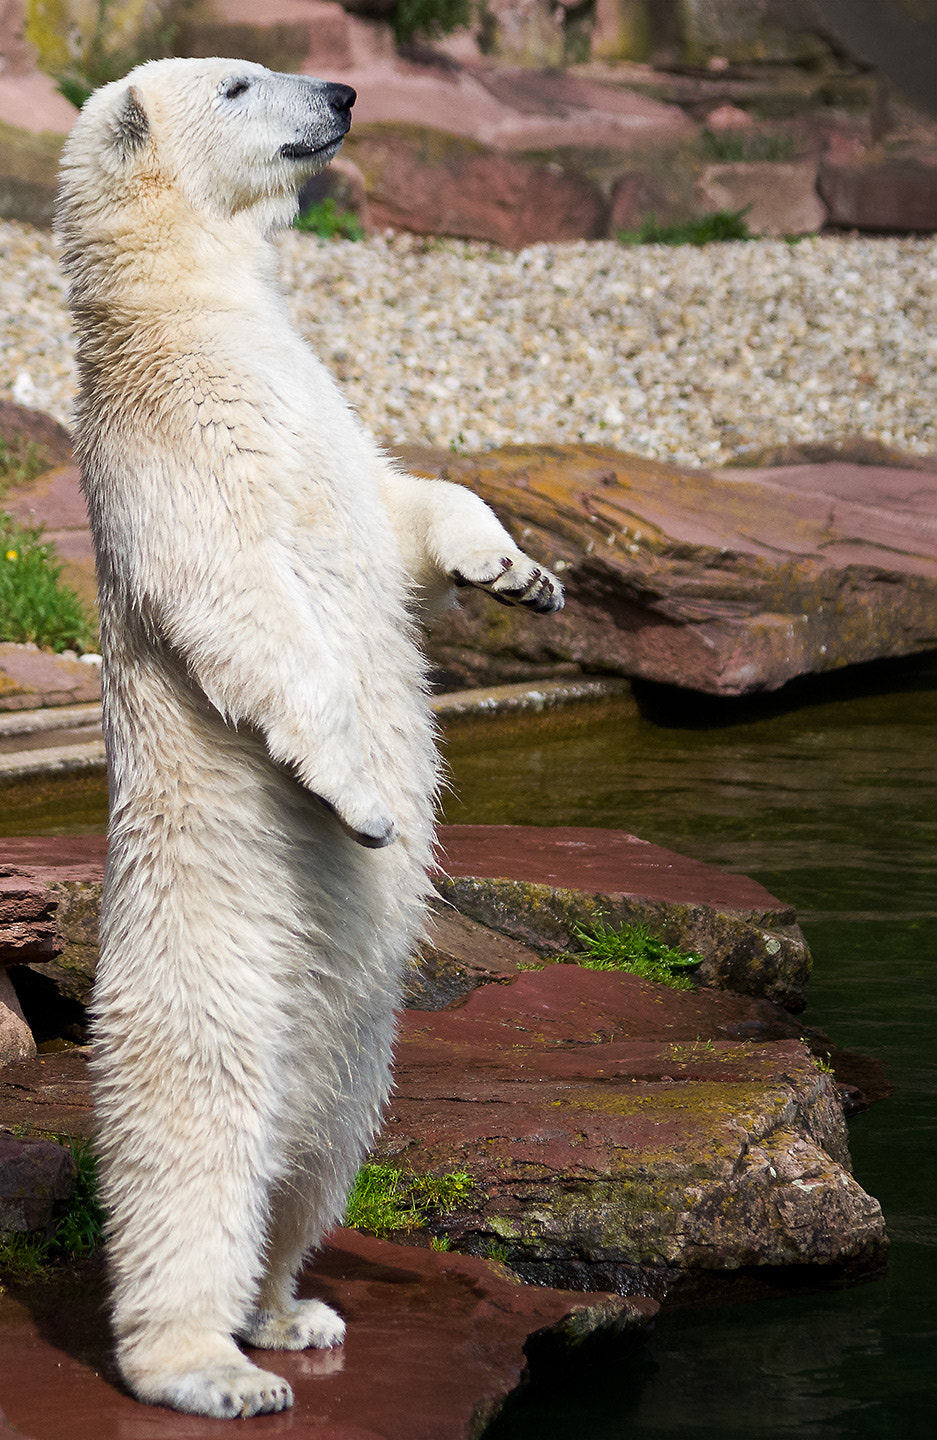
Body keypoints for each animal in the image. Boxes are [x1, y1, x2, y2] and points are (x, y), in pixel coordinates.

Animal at [56, 56, 564, 1416]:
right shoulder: (172, 444)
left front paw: (518, 573)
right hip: (214, 971)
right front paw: (366, 801)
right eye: (239, 81)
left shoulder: (316, 415)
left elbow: (400, 504)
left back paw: (290, 1310)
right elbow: (247, 604)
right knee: (192, 1158)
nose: (340, 91)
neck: (187, 315)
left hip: (354, 1053)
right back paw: (207, 1366)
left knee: (315, 1157)